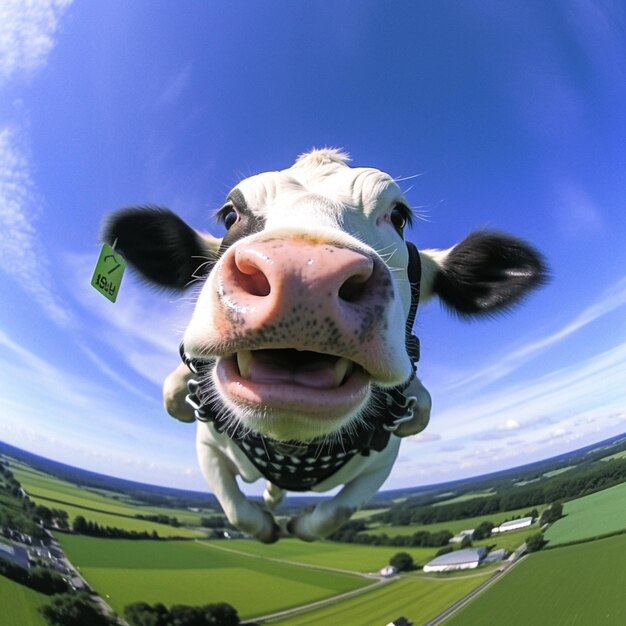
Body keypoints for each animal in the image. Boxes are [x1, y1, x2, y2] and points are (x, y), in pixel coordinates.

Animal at [101, 150, 540, 540]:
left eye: (398, 217)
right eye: (230, 213)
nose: (303, 273)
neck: (293, 449)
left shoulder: (384, 461)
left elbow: (337, 512)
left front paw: (298, 526)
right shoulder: (208, 442)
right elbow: (235, 509)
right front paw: (267, 525)